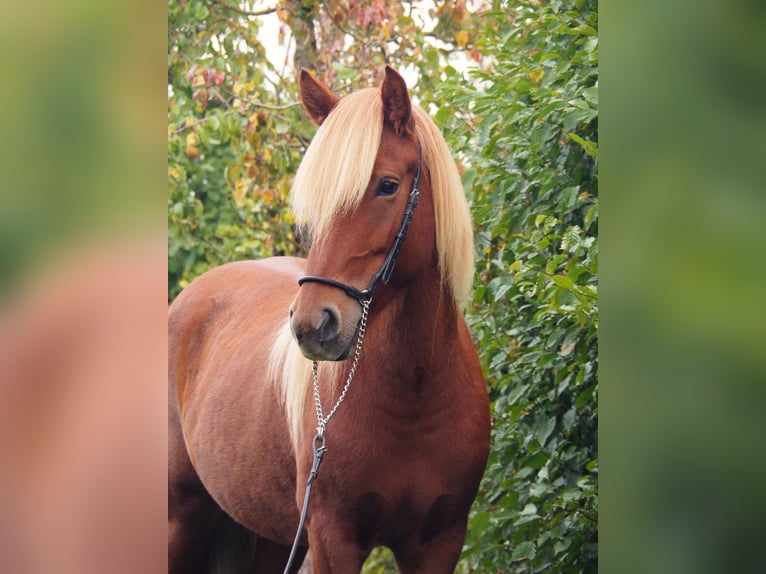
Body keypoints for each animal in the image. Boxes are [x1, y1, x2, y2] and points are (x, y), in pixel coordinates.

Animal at [168, 66, 490, 574]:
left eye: (387, 185)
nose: (313, 325)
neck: (414, 394)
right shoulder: (332, 537)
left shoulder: (439, 542)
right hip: (181, 521)